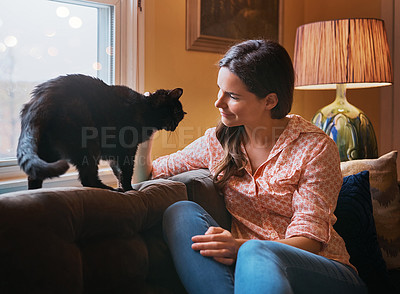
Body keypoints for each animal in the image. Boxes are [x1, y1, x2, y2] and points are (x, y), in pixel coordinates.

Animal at [15, 74, 184, 191]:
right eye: (177, 112)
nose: (177, 124)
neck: (146, 108)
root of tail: (41, 98)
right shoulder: (127, 149)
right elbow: (127, 171)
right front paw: (129, 190)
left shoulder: (115, 155)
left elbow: (118, 172)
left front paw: (123, 187)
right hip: (89, 145)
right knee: (87, 178)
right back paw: (110, 190)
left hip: (49, 151)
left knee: (35, 176)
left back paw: (33, 193)